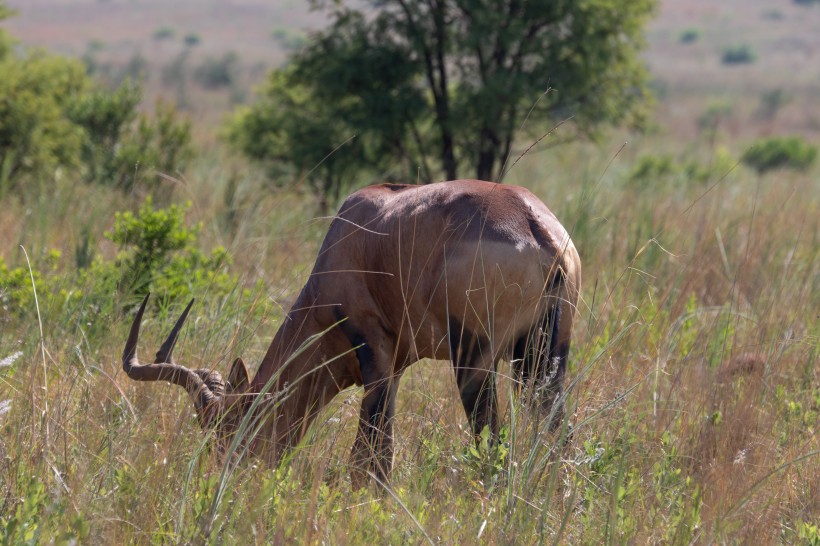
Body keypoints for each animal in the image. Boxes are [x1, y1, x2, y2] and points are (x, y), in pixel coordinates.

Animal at [123, 180, 584, 484]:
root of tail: (536, 227)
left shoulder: (373, 348)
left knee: (490, 437)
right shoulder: (395, 363)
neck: (350, 232)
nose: (227, 479)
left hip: (474, 359)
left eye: (230, 426)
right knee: (556, 432)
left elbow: (372, 452)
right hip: (542, 358)